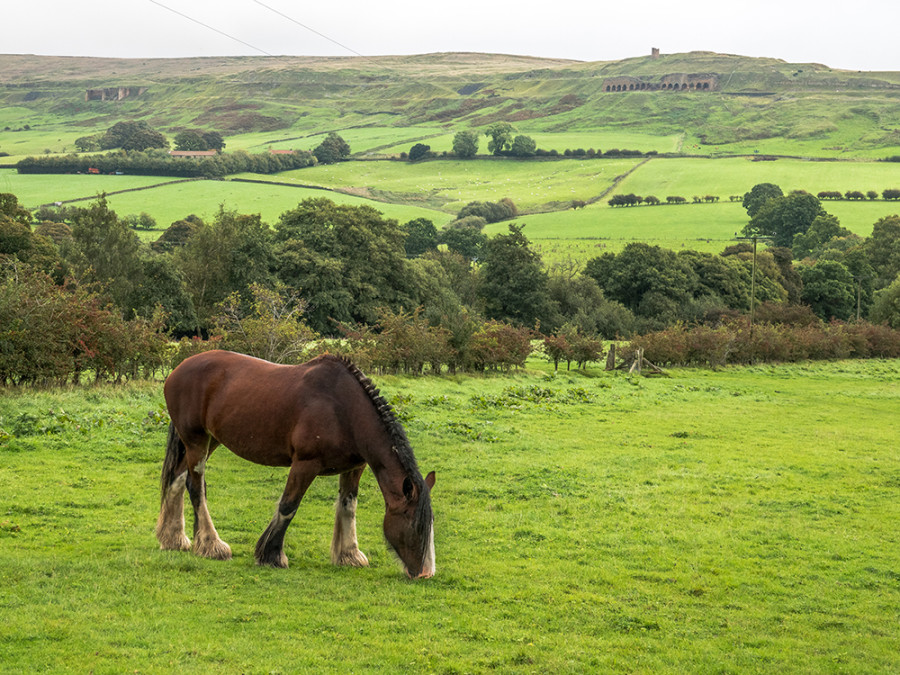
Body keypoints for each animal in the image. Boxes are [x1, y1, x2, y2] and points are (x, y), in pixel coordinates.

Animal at [155, 352, 436, 580]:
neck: (344, 409)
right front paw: (271, 555)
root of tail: (177, 370)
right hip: (196, 441)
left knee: (177, 479)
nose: (425, 573)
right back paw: (212, 545)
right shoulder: (305, 464)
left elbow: (348, 506)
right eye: (414, 523)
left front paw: (349, 555)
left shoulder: (354, 467)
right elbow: (289, 505)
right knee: (195, 487)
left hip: (210, 440)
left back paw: (173, 538)